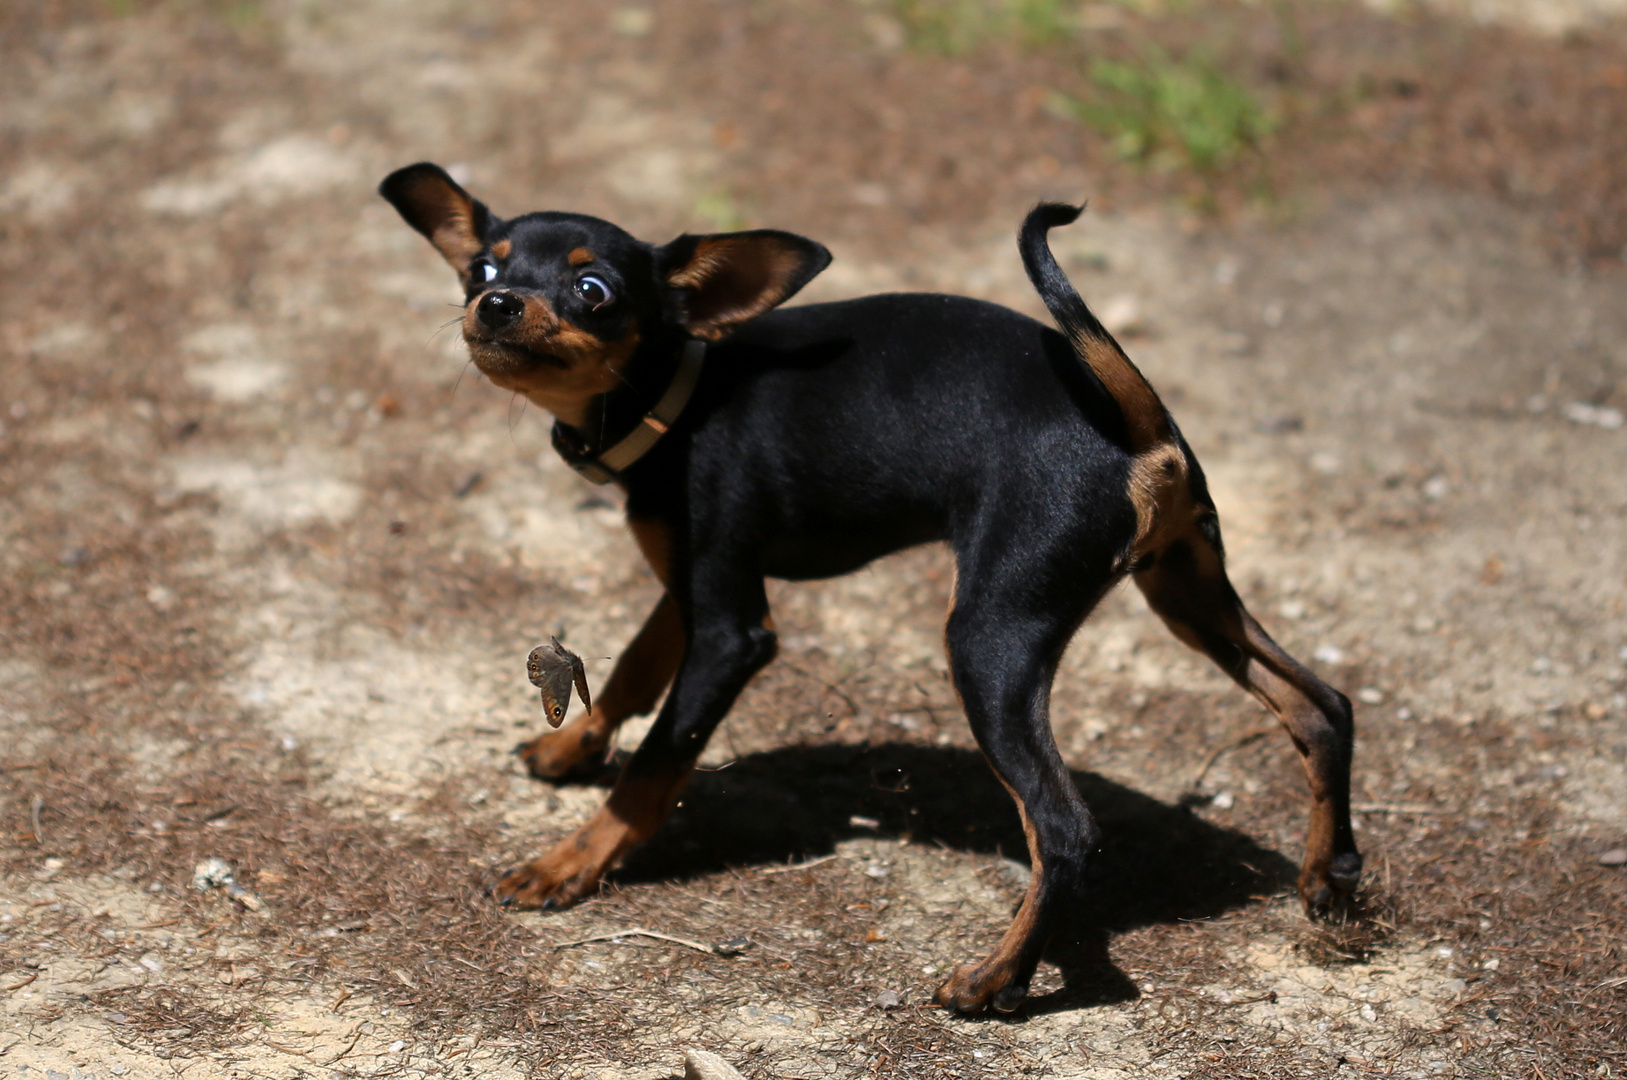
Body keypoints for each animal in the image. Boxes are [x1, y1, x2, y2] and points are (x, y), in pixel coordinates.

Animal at [380, 160, 1360, 1014]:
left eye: (593, 291)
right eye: (483, 266)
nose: (494, 303)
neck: (682, 393)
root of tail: (1134, 421)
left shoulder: (732, 632)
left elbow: (657, 764)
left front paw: (568, 864)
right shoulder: (691, 589)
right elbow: (630, 670)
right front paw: (569, 748)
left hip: (991, 639)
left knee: (1064, 830)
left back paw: (994, 981)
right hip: (1187, 592)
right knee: (1321, 707)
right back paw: (1328, 879)